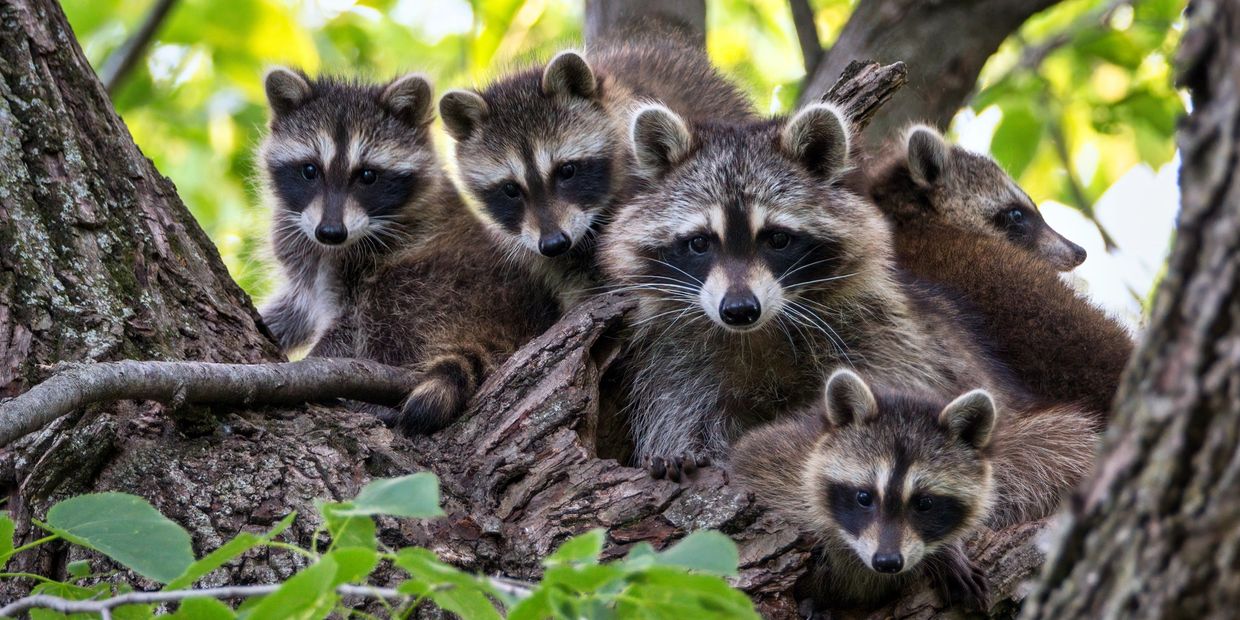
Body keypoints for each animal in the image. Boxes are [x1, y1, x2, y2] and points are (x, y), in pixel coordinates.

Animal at [599, 103, 1031, 476]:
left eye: (777, 238)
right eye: (700, 243)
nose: (739, 309)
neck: (757, 334)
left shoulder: (881, 334)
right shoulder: (674, 356)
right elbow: (681, 411)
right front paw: (683, 449)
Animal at [732, 369, 1098, 610]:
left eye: (924, 503)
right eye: (864, 497)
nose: (887, 562)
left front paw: (946, 553)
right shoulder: (779, 460)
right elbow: (748, 464)